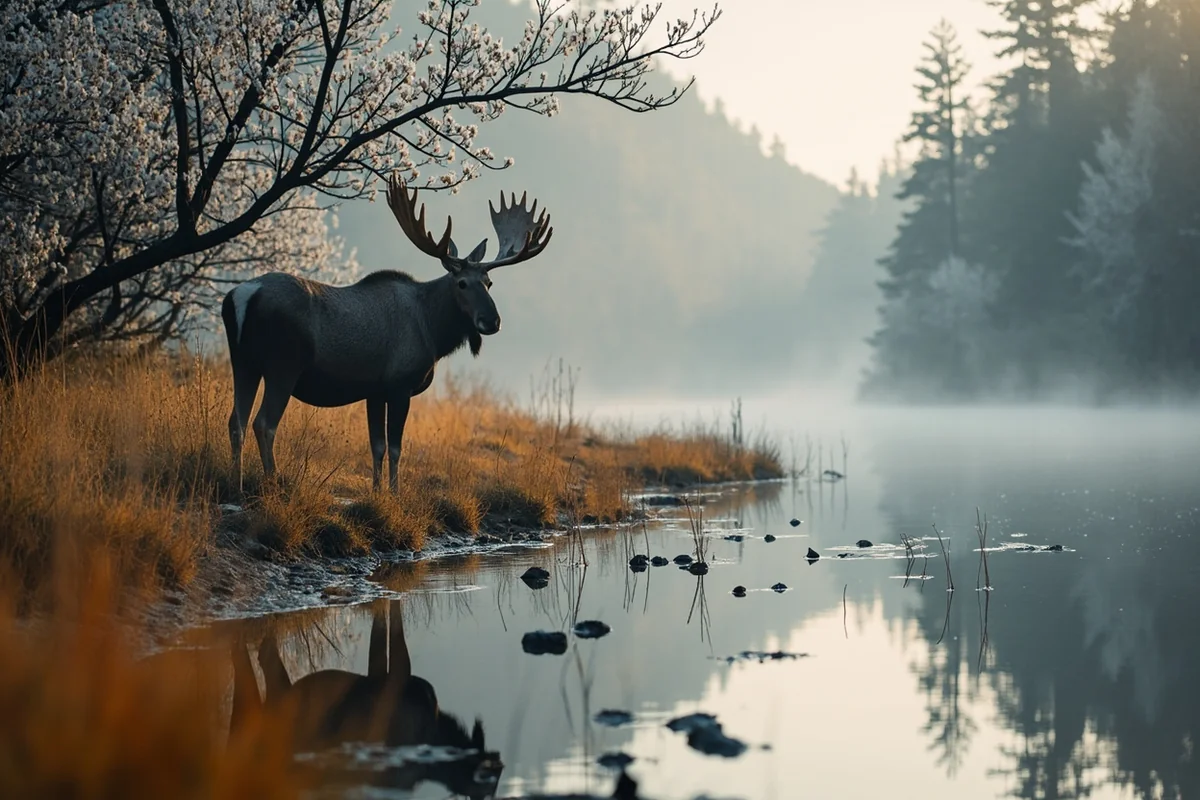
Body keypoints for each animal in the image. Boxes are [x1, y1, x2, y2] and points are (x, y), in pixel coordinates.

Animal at [221, 174, 553, 493]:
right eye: (462, 283)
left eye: (489, 283)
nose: (491, 321)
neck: (433, 333)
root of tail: (242, 295)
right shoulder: (398, 384)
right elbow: (395, 447)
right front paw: (394, 494)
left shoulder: (374, 390)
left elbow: (376, 446)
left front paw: (377, 491)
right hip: (284, 364)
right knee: (264, 423)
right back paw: (272, 482)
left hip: (244, 361)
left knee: (236, 420)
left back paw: (237, 483)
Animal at [229, 599, 503, 798]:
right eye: (492, 777)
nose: (499, 758)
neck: (439, 730)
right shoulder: (398, 677)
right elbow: (394, 621)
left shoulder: (379, 675)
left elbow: (382, 626)